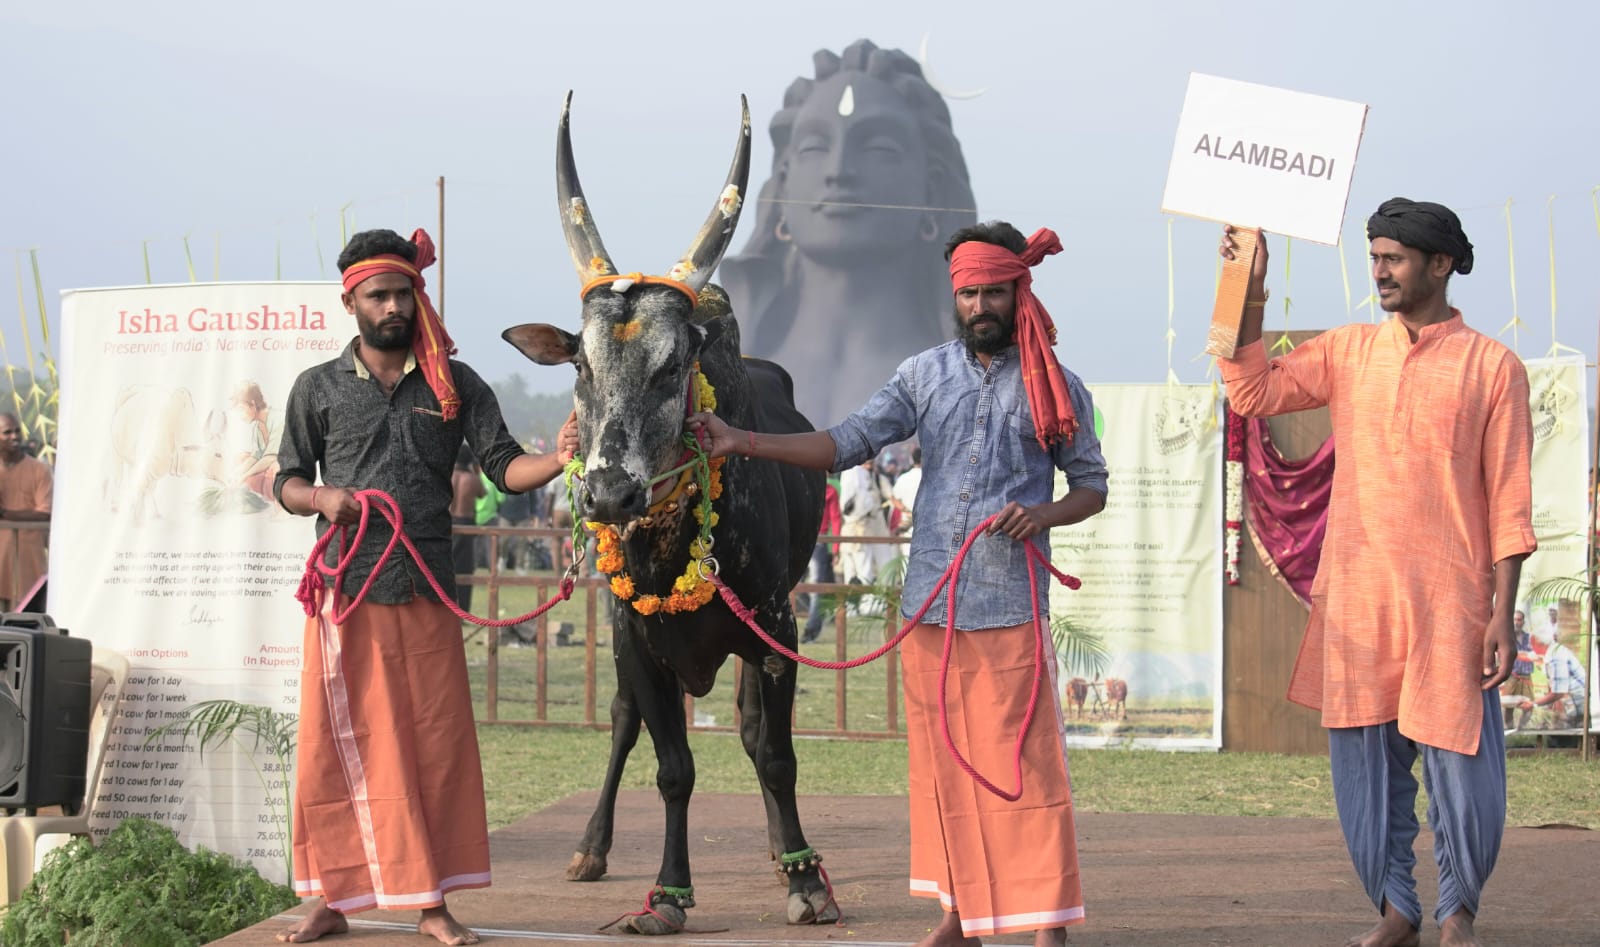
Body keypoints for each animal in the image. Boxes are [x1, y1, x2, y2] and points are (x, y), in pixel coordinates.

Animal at [508, 92, 838, 934]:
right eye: (580, 363)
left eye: (674, 364)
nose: (608, 495)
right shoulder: (636, 640)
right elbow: (671, 767)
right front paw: (666, 894)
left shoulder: (776, 627)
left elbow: (776, 753)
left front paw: (807, 880)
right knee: (623, 724)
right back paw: (590, 847)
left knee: (754, 734)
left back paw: (784, 850)